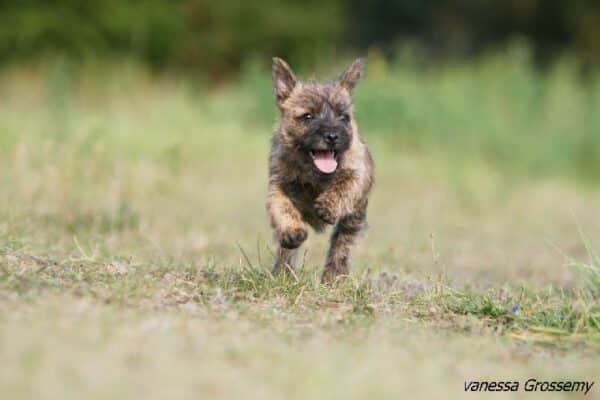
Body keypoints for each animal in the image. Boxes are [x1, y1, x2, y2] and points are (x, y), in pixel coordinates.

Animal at [268, 56, 376, 282]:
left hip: (353, 219)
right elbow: (282, 207)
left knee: (341, 246)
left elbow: (344, 184)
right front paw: (292, 229)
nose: (332, 136)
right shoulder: (278, 185)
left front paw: (328, 205)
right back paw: (283, 272)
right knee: (287, 252)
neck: (315, 176)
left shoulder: (356, 171)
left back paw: (334, 276)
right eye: (307, 116)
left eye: (344, 117)